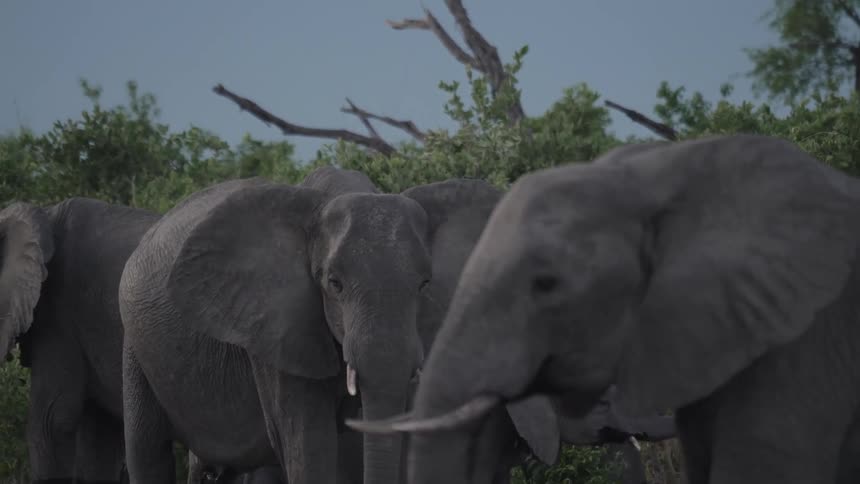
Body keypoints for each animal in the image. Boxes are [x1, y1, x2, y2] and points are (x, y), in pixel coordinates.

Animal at [117, 168, 505, 484]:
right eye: (334, 284)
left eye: (425, 285)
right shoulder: (277, 328)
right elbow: (309, 446)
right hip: (134, 347)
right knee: (147, 453)